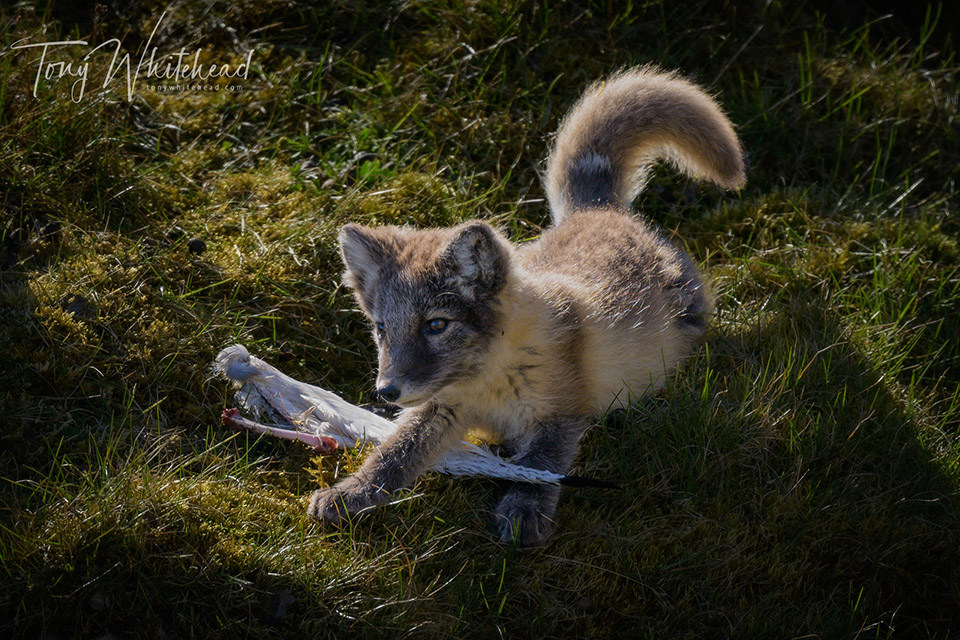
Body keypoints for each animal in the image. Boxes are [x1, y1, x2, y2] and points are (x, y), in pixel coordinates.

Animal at [307, 66, 746, 547]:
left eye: (436, 325)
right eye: (382, 328)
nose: (386, 391)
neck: (490, 379)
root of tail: (597, 210)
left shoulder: (562, 415)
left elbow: (541, 467)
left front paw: (523, 510)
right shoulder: (441, 407)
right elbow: (395, 452)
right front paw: (353, 491)